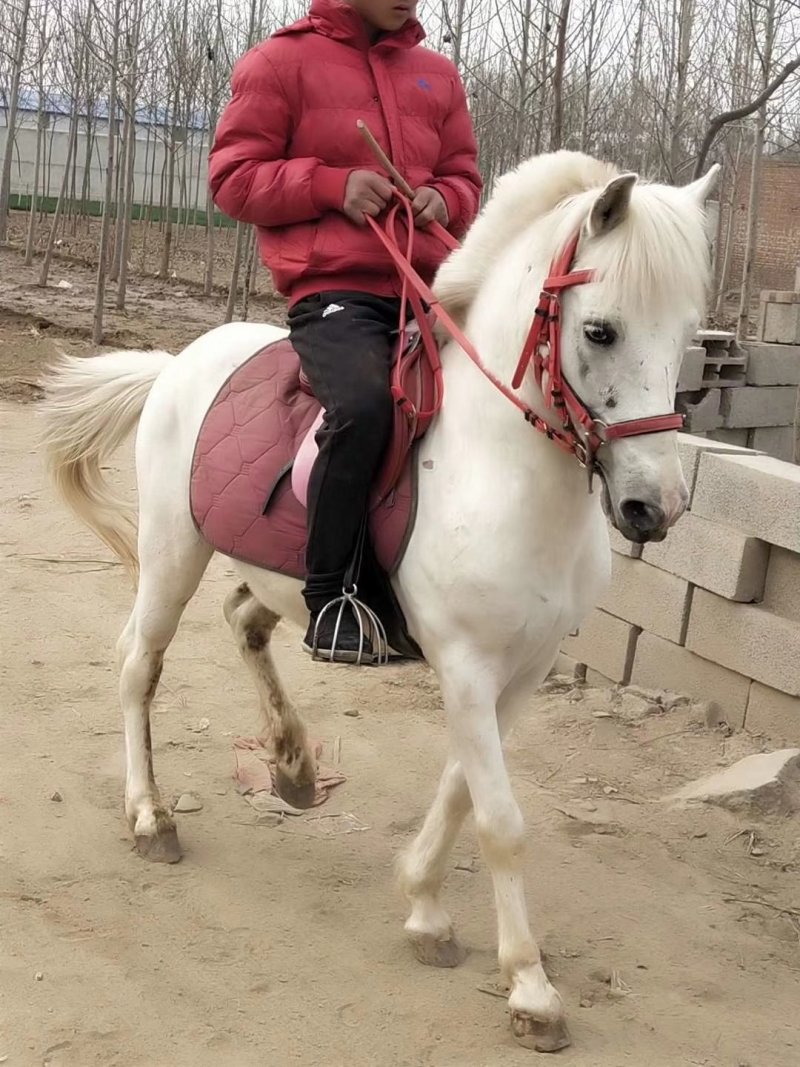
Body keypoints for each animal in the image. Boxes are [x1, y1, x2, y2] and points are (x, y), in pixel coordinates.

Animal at [41, 150, 718, 1052]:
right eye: (600, 330)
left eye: (689, 339)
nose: (654, 507)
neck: (502, 470)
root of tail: (181, 359)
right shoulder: (466, 666)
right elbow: (500, 820)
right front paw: (530, 988)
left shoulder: (521, 672)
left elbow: (464, 792)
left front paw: (424, 906)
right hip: (170, 553)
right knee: (138, 666)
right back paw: (151, 817)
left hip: (282, 579)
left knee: (242, 621)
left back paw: (293, 767)